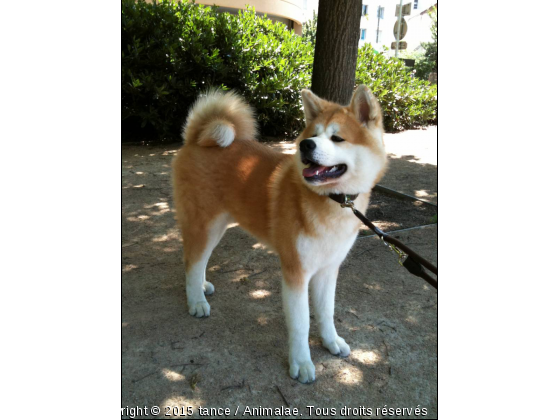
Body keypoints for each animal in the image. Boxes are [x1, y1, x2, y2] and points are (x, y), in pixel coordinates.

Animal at [173, 85, 388, 384]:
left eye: (337, 138)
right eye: (312, 135)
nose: (306, 145)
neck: (333, 202)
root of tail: (196, 140)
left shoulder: (328, 269)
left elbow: (326, 312)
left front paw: (331, 341)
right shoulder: (296, 272)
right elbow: (301, 323)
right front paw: (302, 363)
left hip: (218, 227)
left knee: (200, 260)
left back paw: (201, 287)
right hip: (204, 224)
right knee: (191, 261)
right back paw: (196, 301)